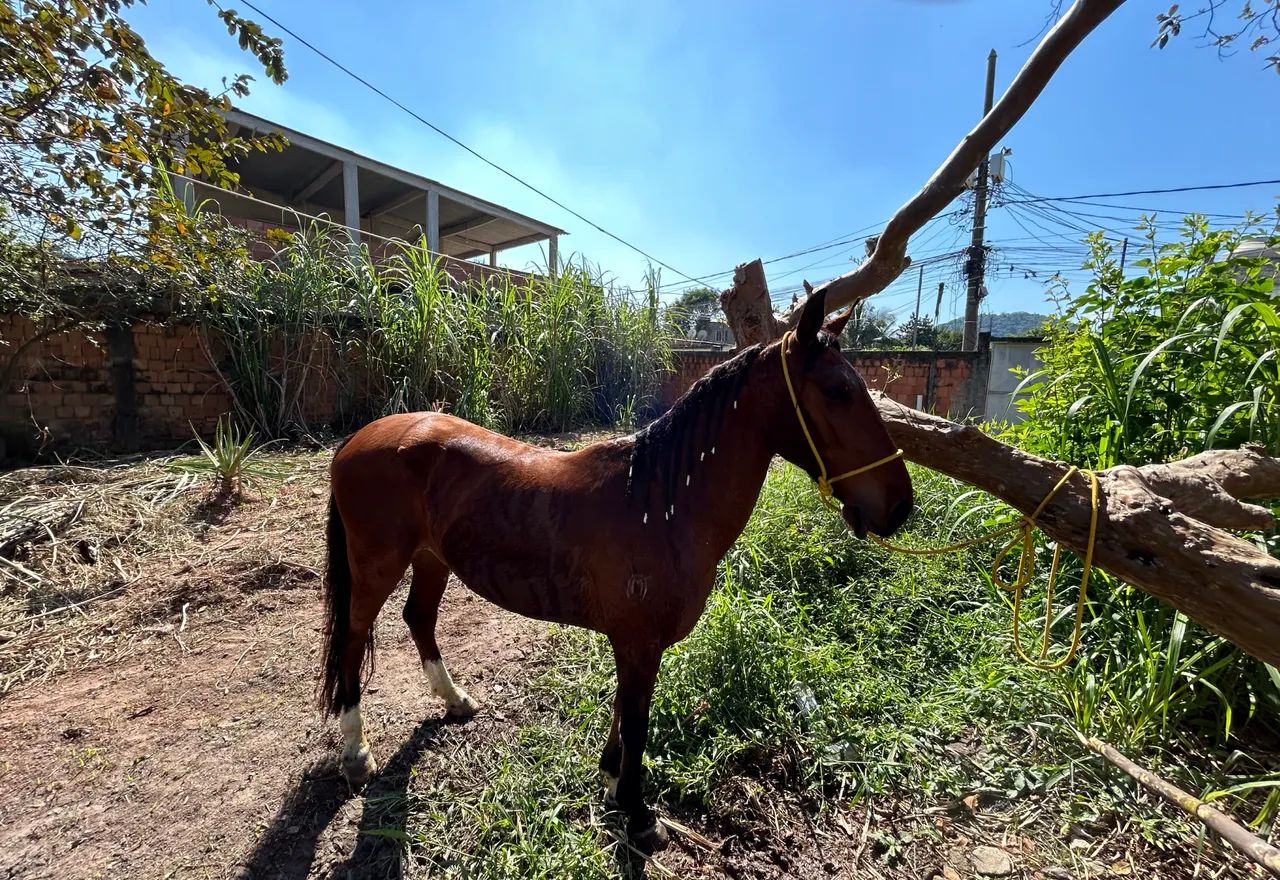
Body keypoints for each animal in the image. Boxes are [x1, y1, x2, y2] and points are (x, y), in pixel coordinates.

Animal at [318, 289, 914, 852]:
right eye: (837, 391)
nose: (899, 506)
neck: (660, 502)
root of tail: (357, 439)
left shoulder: (633, 643)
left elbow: (624, 711)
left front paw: (609, 783)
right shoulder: (638, 643)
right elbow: (638, 722)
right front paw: (639, 814)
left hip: (431, 559)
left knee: (418, 618)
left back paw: (456, 701)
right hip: (377, 565)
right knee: (353, 634)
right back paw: (356, 751)